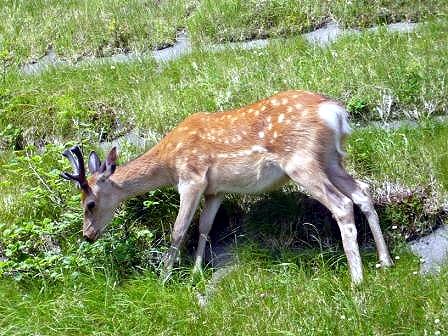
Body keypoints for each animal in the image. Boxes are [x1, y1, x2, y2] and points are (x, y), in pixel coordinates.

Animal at [62, 89, 392, 284]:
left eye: (89, 204)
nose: (87, 235)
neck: (169, 162)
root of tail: (336, 112)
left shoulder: (192, 178)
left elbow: (179, 230)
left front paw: (165, 277)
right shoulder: (215, 190)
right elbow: (205, 227)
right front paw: (196, 271)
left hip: (302, 161)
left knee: (342, 204)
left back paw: (357, 279)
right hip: (332, 159)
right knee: (362, 191)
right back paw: (385, 262)